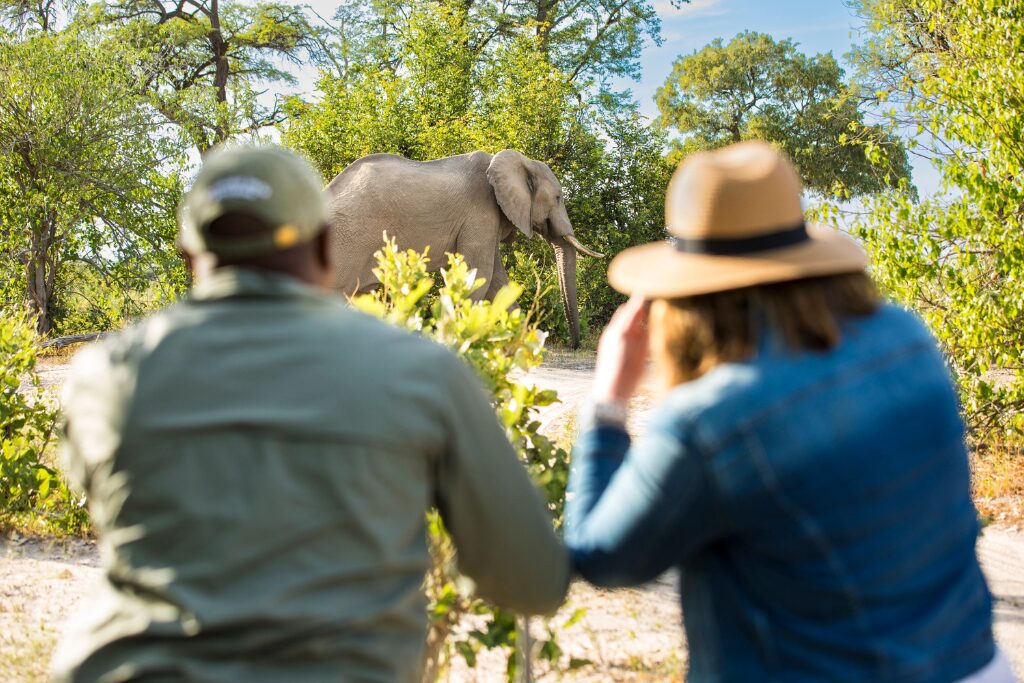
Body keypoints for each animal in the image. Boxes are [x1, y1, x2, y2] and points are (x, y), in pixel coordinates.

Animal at [323, 149, 602, 348]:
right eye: (558, 198)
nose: (575, 346)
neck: (518, 161)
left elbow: (497, 281)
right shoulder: (480, 213)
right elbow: (480, 275)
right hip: (347, 241)